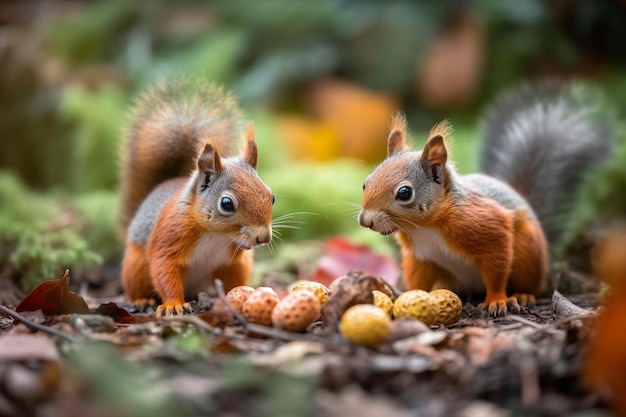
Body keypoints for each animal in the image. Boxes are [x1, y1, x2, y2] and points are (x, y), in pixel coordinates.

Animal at [118, 79, 272, 316]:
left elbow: (234, 280)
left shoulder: (232, 261)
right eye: (226, 203)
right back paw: (142, 300)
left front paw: (241, 295)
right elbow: (163, 266)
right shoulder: (169, 234)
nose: (263, 237)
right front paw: (173, 305)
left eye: (271, 197)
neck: (216, 234)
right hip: (136, 265)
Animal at [358, 81, 612, 316]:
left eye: (404, 193)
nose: (365, 221)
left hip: (528, 252)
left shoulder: (489, 227)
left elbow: (496, 267)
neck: (425, 227)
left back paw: (523, 294)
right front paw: (407, 295)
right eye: (365, 182)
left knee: (533, 283)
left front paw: (496, 300)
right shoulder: (420, 256)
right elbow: (418, 278)